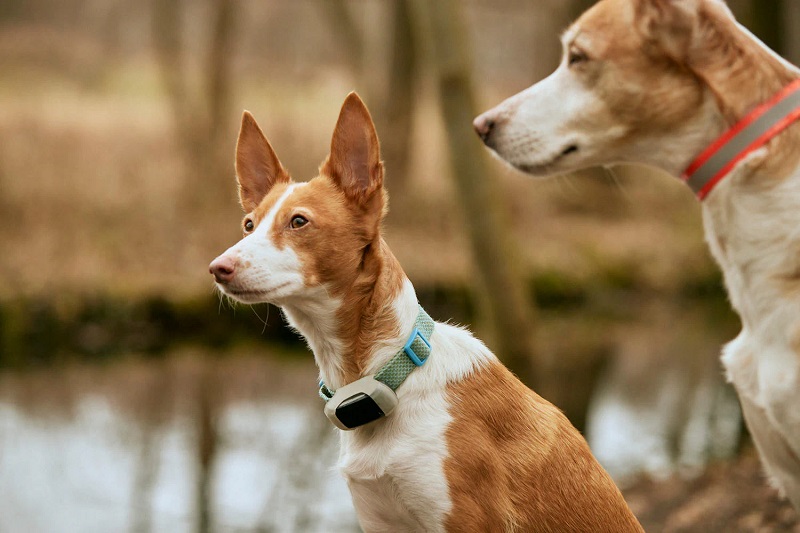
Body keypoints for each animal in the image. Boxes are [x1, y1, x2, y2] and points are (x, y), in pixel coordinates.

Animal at [208, 93, 644, 528]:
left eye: (299, 221)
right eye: (249, 225)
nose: (218, 267)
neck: (387, 375)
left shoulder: (466, 521)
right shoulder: (378, 521)